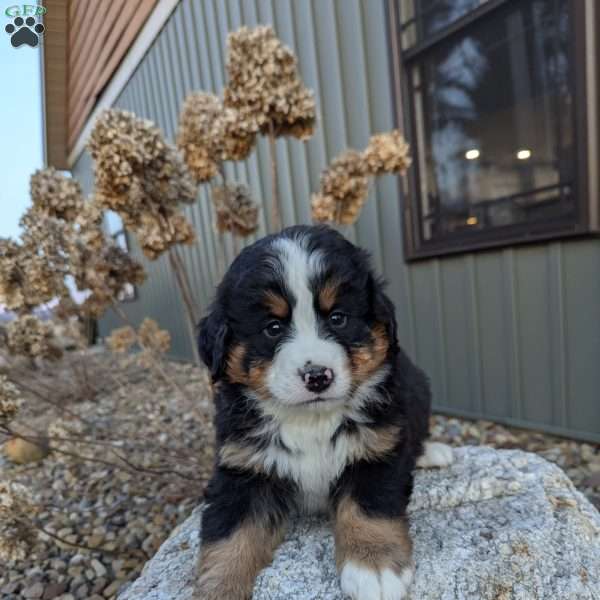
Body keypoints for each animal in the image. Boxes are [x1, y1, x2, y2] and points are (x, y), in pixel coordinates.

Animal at [195, 225, 452, 600]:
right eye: (273, 327)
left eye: (338, 318)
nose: (317, 376)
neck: (309, 421)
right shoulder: (242, 467)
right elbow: (230, 534)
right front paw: (218, 587)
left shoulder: (376, 449)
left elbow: (367, 506)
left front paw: (373, 566)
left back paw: (434, 452)